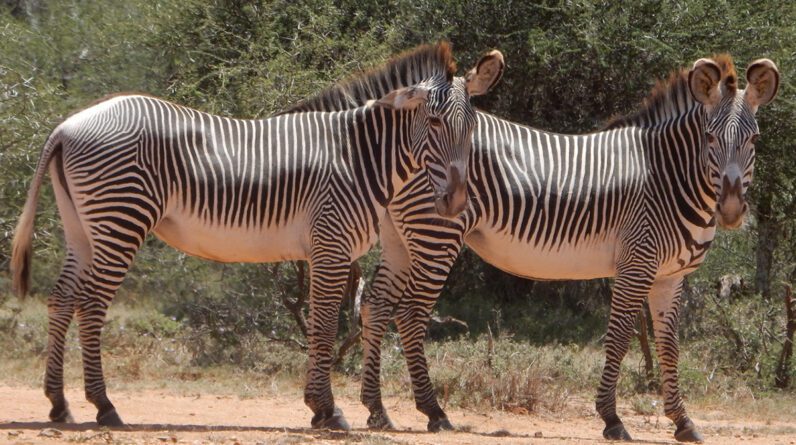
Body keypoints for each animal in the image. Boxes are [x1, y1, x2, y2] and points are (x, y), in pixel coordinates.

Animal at [9, 43, 504, 428]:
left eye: (471, 128)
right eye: (434, 123)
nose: (456, 204)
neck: (357, 157)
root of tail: (67, 125)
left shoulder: (326, 249)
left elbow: (322, 324)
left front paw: (319, 407)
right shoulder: (331, 244)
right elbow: (325, 325)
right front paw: (327, 410)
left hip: (83, 226)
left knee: (62, 298)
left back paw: (59, 404)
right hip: (121, 219)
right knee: (91, 304)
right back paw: (104, 406)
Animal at [356, 53, 784, 438]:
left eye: (755, 139)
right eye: (710, 138)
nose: (731, 210)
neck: (669, 178)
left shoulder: (670, 276)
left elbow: (669, 345)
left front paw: (683, 421)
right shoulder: (637, 263)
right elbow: (619, 336)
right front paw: (612, 418)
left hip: (400, 237)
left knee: (376, 305)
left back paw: (376, 410)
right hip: (436, 233)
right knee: (410, 313)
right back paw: (433, 410)